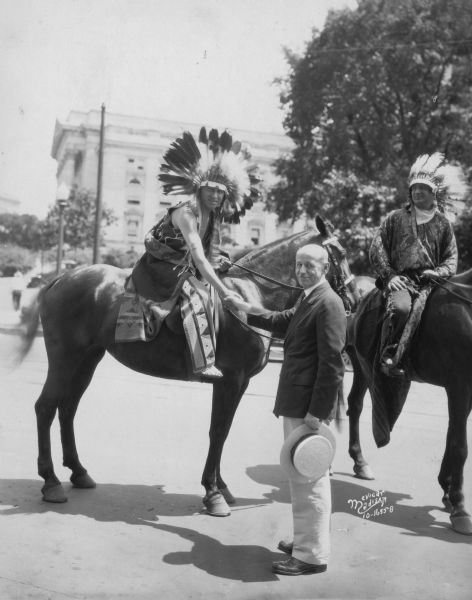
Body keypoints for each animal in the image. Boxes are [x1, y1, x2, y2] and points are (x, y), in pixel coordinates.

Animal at [17, 214, 354, 516]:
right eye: (342, 253)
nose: (351, 300)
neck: (252, 293)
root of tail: (61, 278)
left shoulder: (240, 383)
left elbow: (224, 430)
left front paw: (220, 487)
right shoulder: (230, 380)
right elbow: (217, 431)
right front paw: (213, 493)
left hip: (87, 359)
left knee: (67, 408)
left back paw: (77, 471)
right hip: (64, 359)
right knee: (45, 408)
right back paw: (50, 482)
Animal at [344, 270, 472, 536]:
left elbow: (451, 435)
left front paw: (446, 490)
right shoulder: (459, 385)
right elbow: (460, 445)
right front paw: (460, 508)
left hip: (361, 367)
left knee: (354, 405)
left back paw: (359, 462)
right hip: (361, 363)